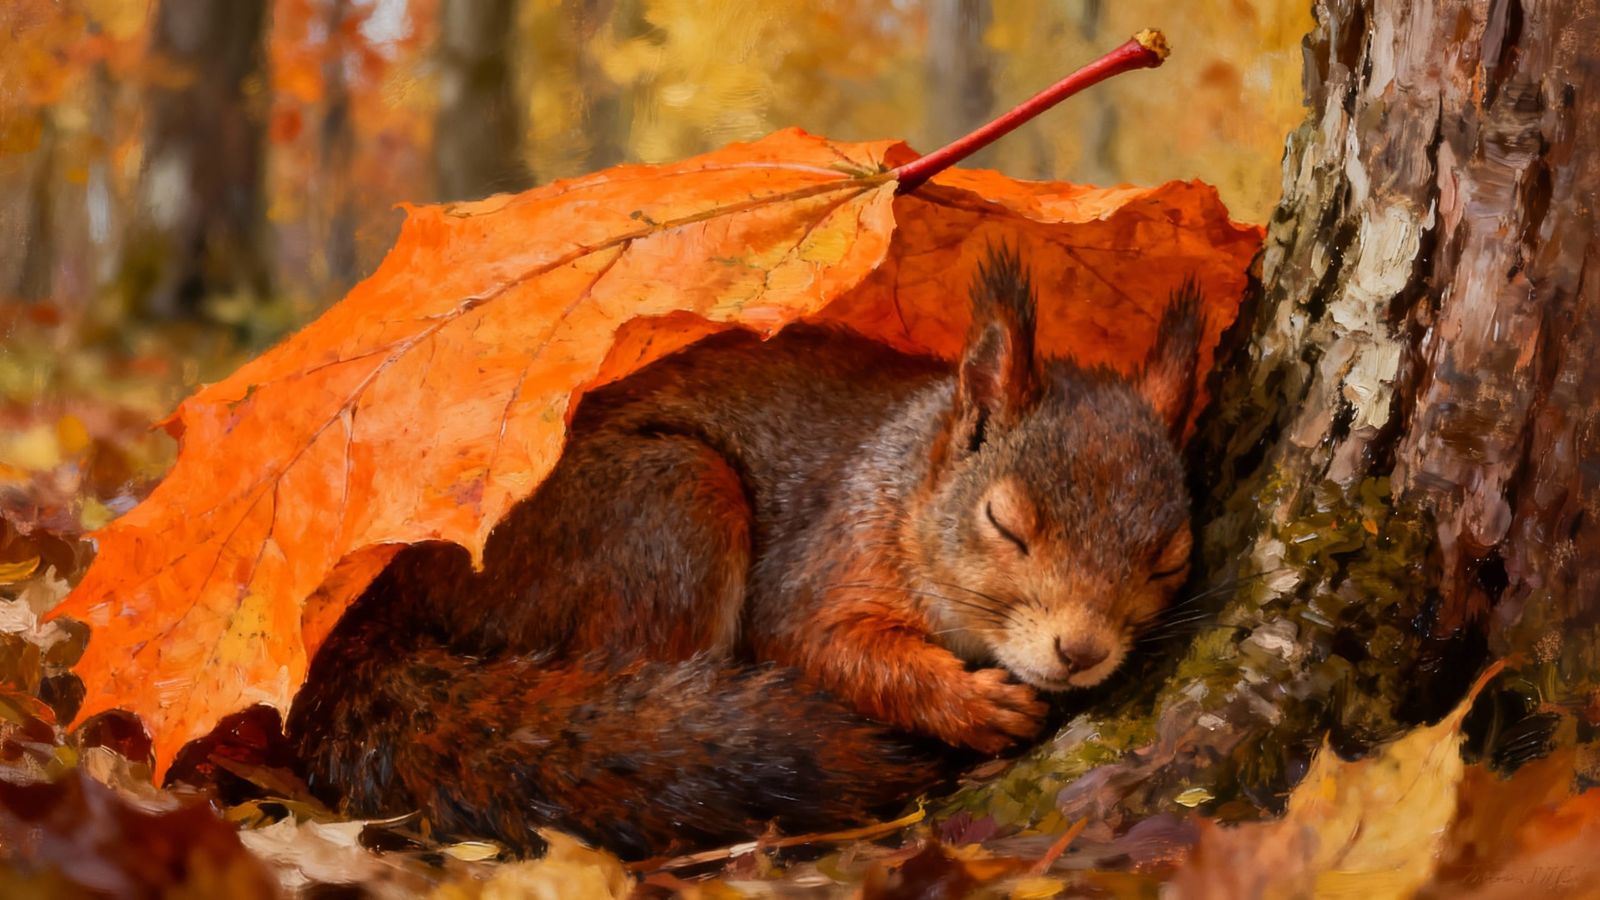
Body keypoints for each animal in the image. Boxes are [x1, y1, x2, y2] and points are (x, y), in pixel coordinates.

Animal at [285, 247, 1204, 861]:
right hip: (668, 508)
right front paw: (970, 704)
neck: (909, 486)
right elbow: (819, 643)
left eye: (1167, 559)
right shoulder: (825, 561)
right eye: (1005, 523)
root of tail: (401, 589)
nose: (1079, 651)